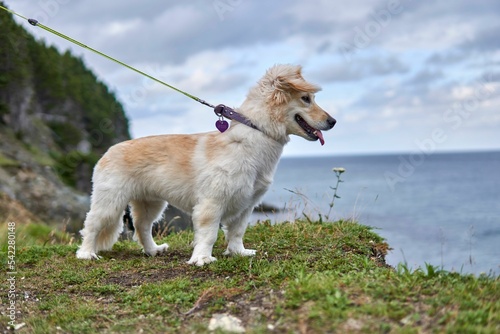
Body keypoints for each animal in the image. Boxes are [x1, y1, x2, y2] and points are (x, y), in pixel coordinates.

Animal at [75, 64, 336, 264]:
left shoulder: (247, 204)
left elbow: (237, 232)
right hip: (110, 202)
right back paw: (87, 254)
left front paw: (239, 252)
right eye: (306, 99)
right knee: (92, 225)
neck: (254, 136)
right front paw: (202, 258)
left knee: (142, 227)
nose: (333, 121)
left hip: (151, 203)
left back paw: (153, 250)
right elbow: (209, 234)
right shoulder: (212, 203)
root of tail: (109, 151)